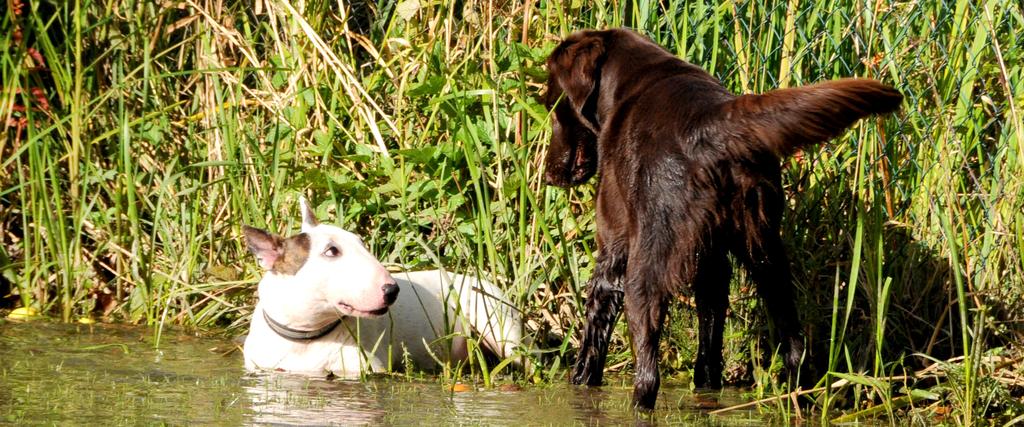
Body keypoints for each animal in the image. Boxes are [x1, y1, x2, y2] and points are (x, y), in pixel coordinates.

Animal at [241, 197, 520, 374]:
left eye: (361, 243)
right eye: (331, 251)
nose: (392, 290)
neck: (305, 337)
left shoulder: (366, 369)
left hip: (497, 322)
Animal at [548, 27, 901, 409]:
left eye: (552, 107)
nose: (549, 175)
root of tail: (715, 125)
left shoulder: (614, 246)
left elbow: (592, 337)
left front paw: (580, 385)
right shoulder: (713, 261)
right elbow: (710, 336)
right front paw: (706, 384)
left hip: (644, 270)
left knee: (648, 373)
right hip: (768, 255)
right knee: (794, 346)